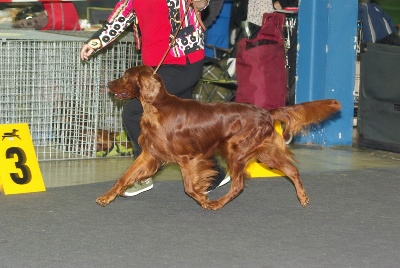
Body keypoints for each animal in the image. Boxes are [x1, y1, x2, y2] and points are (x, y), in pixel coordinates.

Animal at [96, 64, 340, 209]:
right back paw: (303, 197)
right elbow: (124, 177)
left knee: (239, 184)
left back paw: (218, 203)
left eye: (126, 76)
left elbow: (189, 187)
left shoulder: (188, 158)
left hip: (237, 151)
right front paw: (107, 197)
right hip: (264, 153)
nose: (108, 84)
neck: (157, 108)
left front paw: (203, 199)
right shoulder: (149, 154)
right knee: (291, 170)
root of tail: (266, 113)